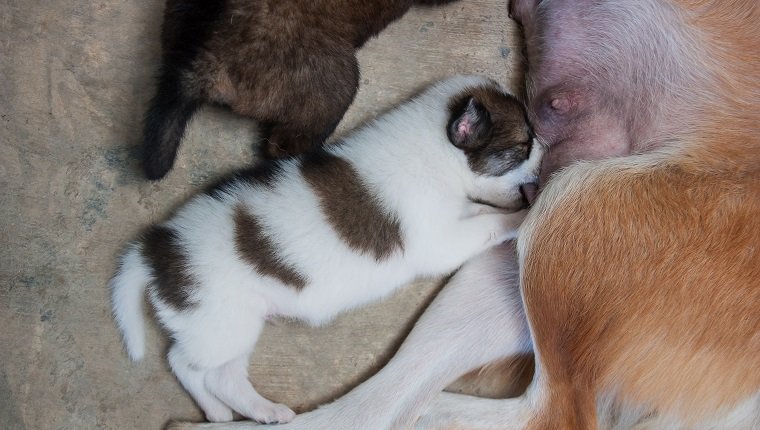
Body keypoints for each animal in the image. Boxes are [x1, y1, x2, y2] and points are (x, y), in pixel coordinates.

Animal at [111, 76, 540, 424]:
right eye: (523, 144)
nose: (544, 152)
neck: (436, 153)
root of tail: (153, 250)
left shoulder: (457, 216)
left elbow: (481, 213)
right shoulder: (439, 241)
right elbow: (489, 224)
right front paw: (527, 213)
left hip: (236, 326)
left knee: (223, 376)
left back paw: (262, 411)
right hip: (219, 325)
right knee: (184, 364)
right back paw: (217, 411)